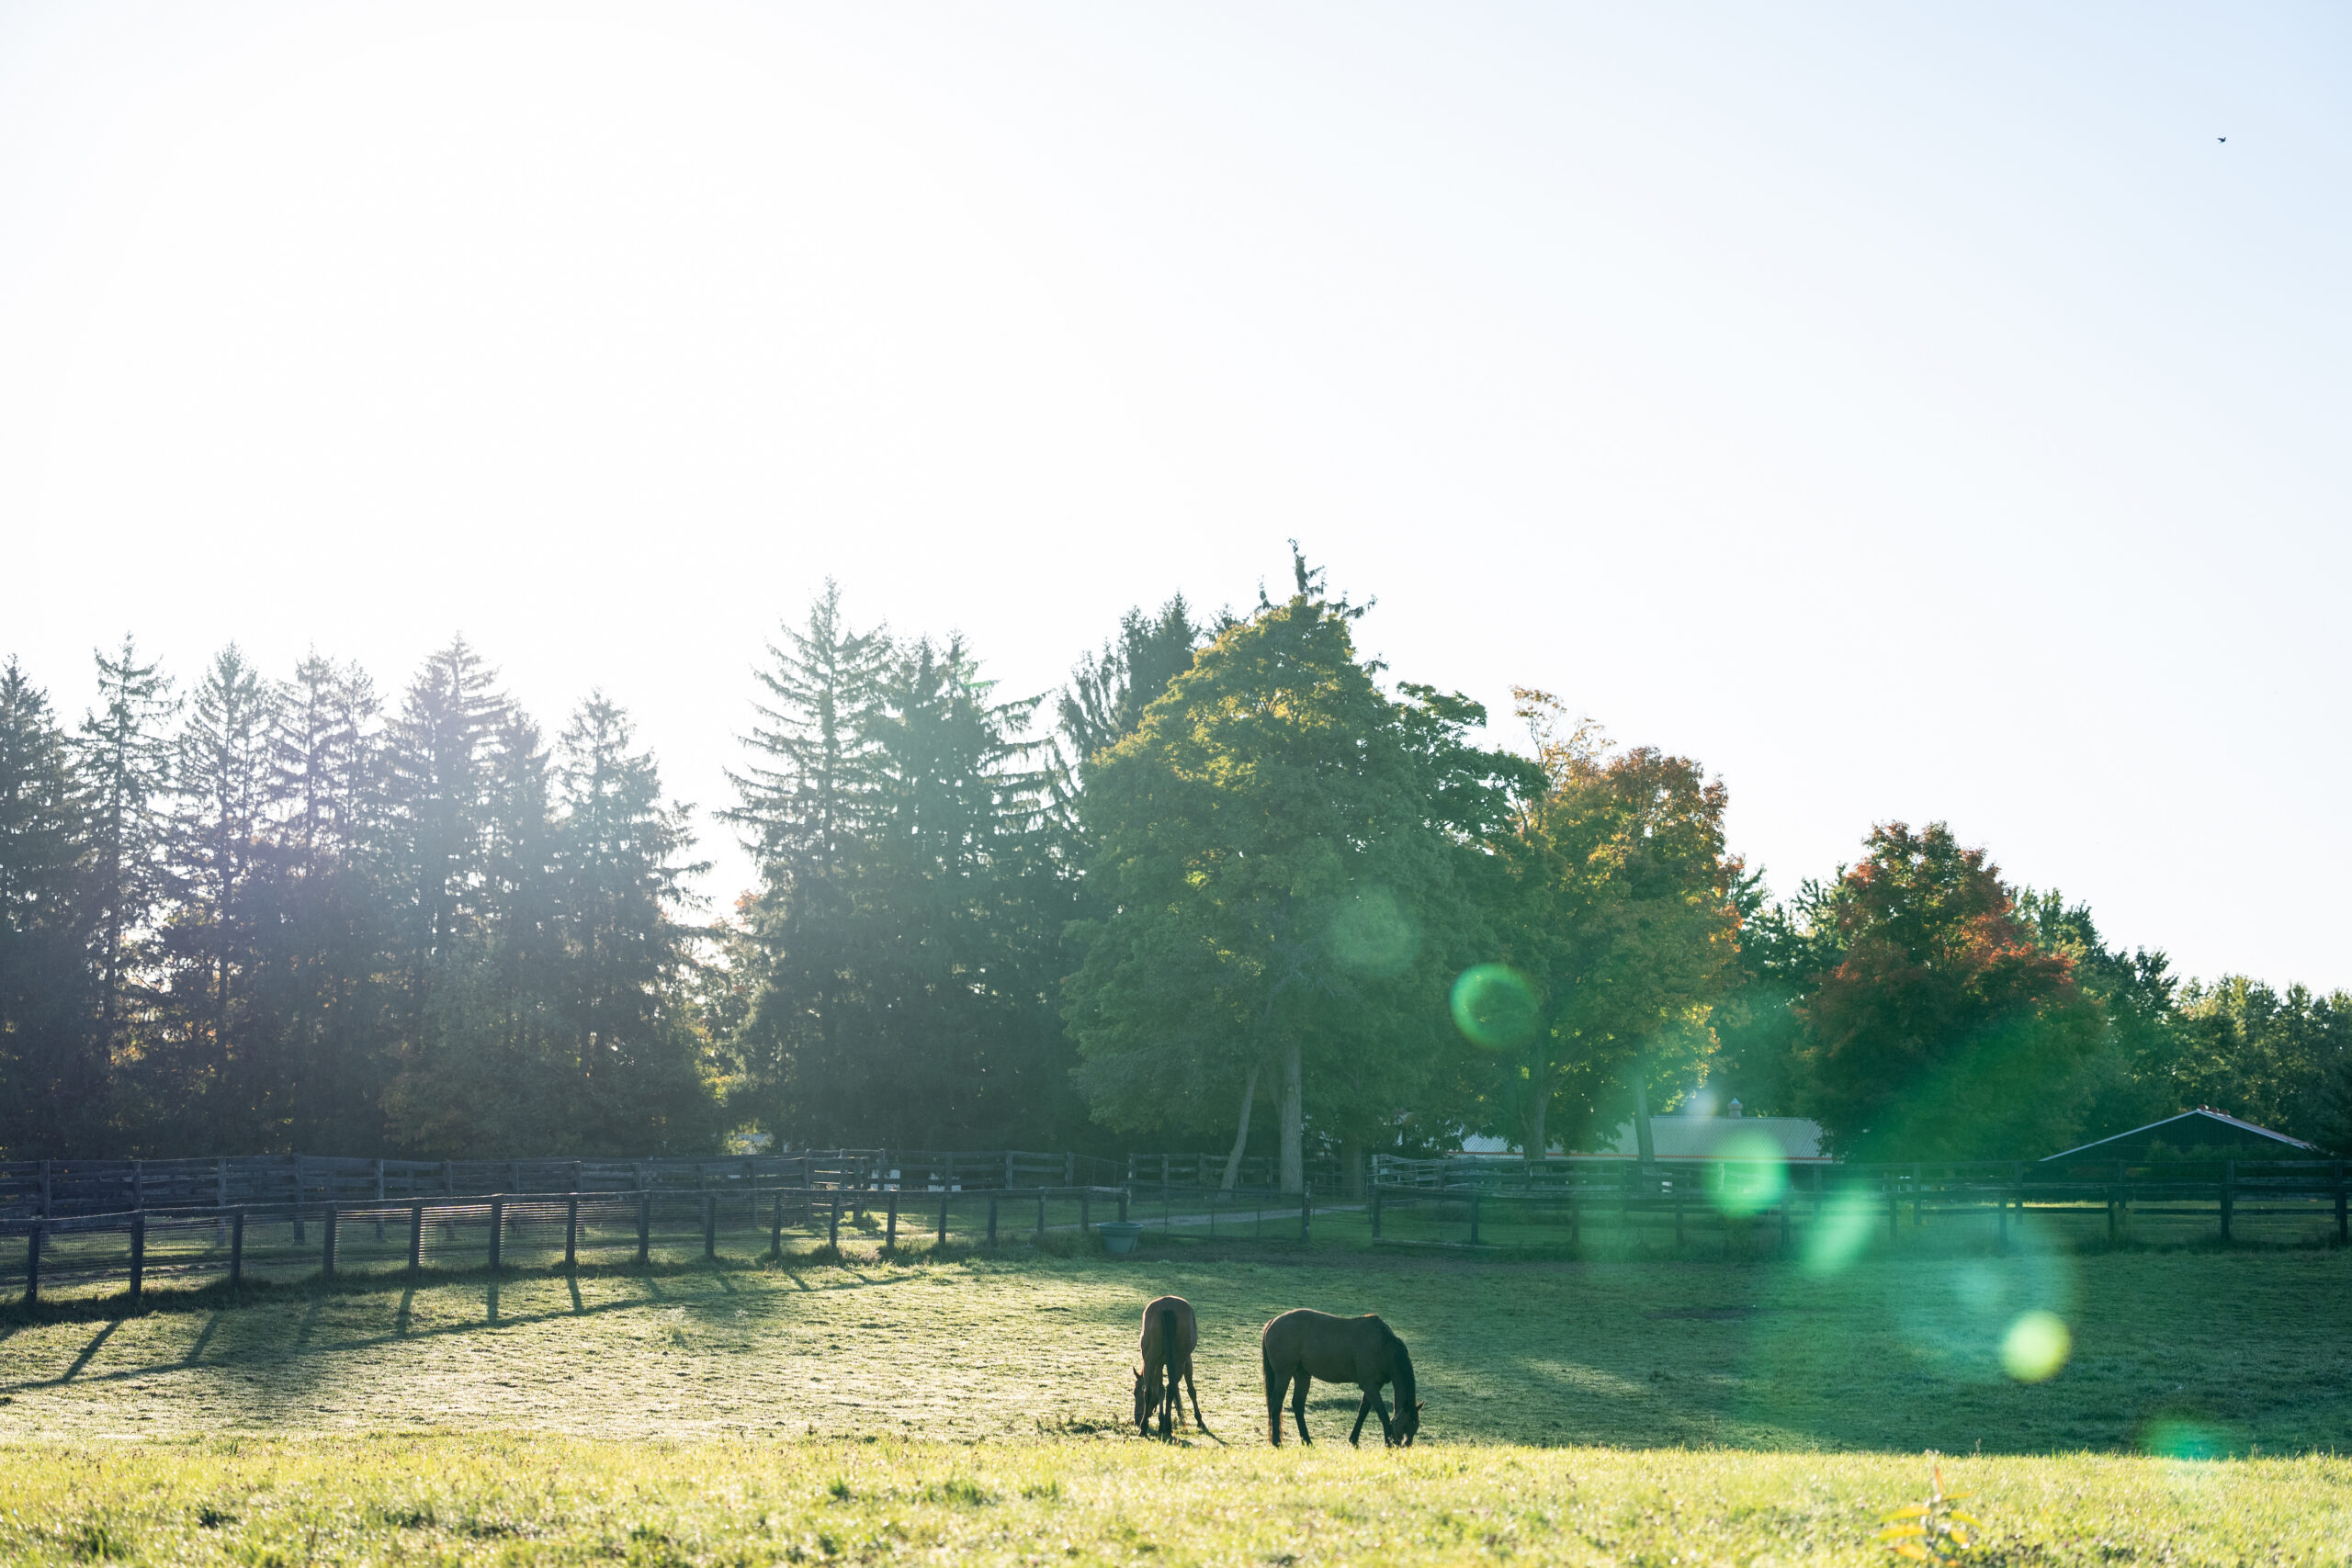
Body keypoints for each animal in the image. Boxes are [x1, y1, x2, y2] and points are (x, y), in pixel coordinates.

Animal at [1133, 1295, 1210, 1439]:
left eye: (1135, 1393)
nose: (1136, 1418)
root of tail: (1167, 1307)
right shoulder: (1188, 1361)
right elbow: (1191, 1390)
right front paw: (1199, 1419)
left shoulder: (1158, 1364)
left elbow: (1160, 1390)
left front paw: (1160, 1422)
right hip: (1179, 1360)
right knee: (1171, 1388)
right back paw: (1167, 1427)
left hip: (1150, 1359)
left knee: (1150, 1390)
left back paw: (1144, 1427)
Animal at [1260, 1308, 1421, 1447]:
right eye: (1404, 1425)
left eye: (1416, 1427)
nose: (1404, 1447)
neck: (1383, 1345)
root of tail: (1273, 1322)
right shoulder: (1370, 1386)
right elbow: (1382, 1414)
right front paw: (1388, 1444)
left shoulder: (1374, 1386)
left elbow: (1363, 1411)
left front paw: (1354, 1439)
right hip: (1284, 1374)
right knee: (1276, 1404)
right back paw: (1277, 1442)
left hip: (1302, 1375)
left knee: (1298, 1405)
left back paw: (1307, 1441)